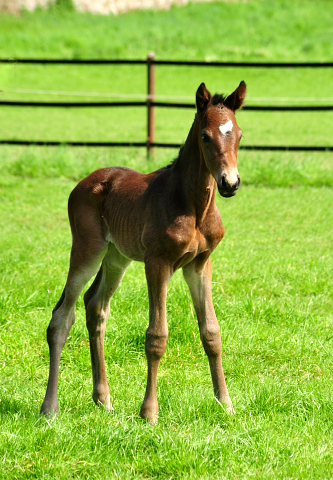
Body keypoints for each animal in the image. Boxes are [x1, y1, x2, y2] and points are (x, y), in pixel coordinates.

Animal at [40, 82, 245, 424]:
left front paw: (226, 404)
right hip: (87, 250)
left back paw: (103, 399)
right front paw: (149, 412)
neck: (193, 206)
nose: (230, 183)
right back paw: (49, 407)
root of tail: (84, 182)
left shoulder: (200, 264)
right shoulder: (157, 262)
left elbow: (212, 333)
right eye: (205, 136)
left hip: (116, 257)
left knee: (95, 306)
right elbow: (156, 336)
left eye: (239, 134)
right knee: (61, 316)